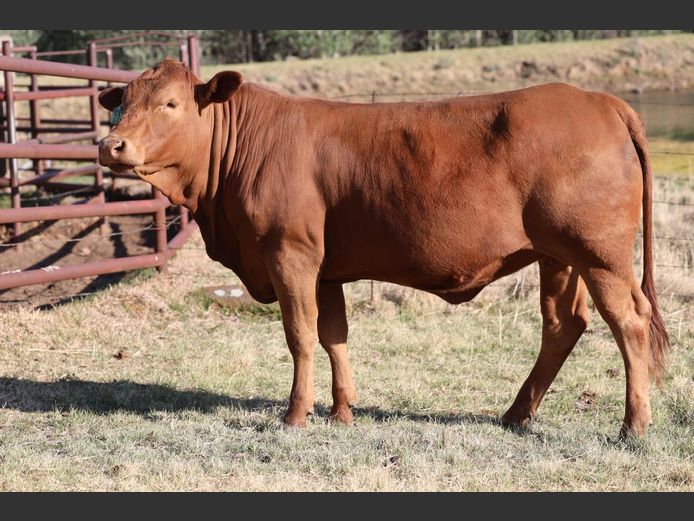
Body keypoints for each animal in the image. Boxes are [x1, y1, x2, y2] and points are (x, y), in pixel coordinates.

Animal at [98, 59, 669, 438]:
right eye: (120, 103)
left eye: (170, 104)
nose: (110, 146)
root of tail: (601, 100)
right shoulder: (325, 271)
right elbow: (334, 336)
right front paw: (341, 412)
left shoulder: (290, 255)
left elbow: (300, 336)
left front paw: (296, 414)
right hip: (560, 257)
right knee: (563, 325)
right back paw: (516, 414)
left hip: (600, 257)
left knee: (629, 322)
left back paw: (634, 425)